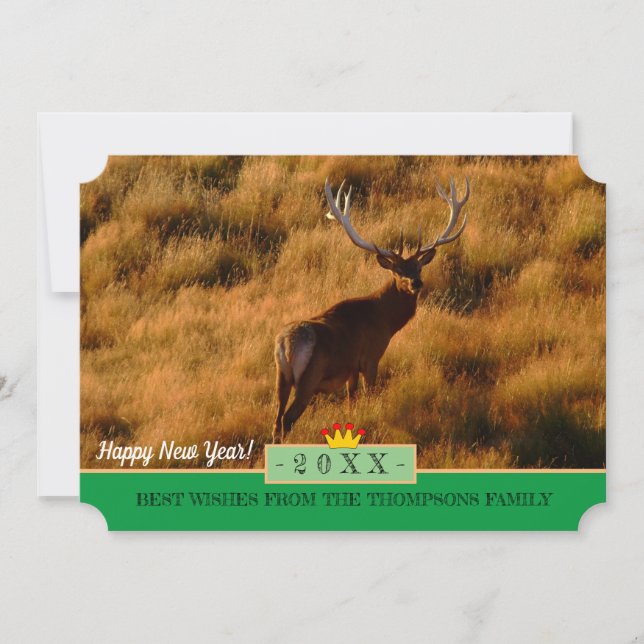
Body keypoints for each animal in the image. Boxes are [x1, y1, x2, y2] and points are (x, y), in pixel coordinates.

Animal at [272, 177, 470, 443]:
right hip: (308, 378)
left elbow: (351, 401)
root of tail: (286, 344)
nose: (416, 283)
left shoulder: (351, 368)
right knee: (287, 419)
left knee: (276, 420)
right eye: (397, 270)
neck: (384, 320)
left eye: (419, 267)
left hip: (280, 377)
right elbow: (369, 394)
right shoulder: (371, 357)